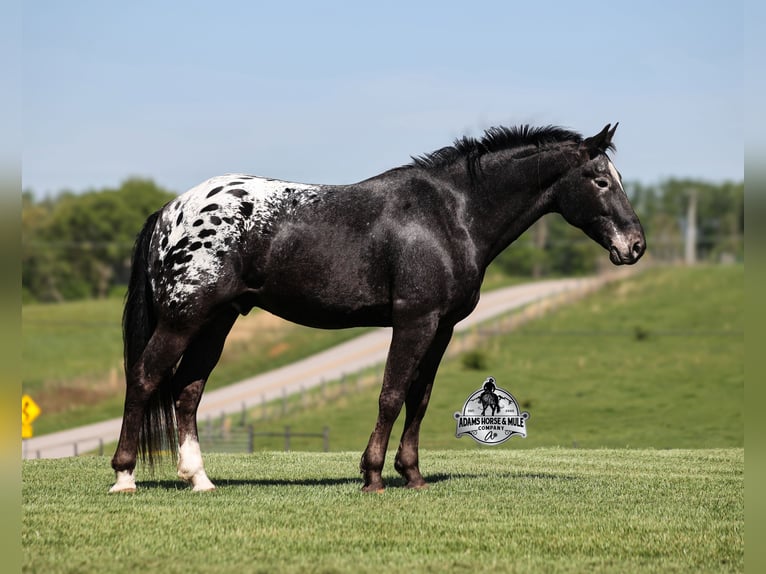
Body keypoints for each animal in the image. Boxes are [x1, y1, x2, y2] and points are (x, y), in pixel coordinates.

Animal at [110, 123, 645, 494]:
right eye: (600, 180)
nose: (635, 245)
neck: (449, 213)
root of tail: (169, 211)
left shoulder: (441, 328)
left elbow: (418, 399)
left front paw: (412, 475)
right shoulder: (413, 320)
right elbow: (390, 394)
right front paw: (372, 476)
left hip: (215, 322)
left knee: (187, 391)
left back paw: (199, 479)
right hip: (183, 319)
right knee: (146, 379)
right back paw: (125, 476)